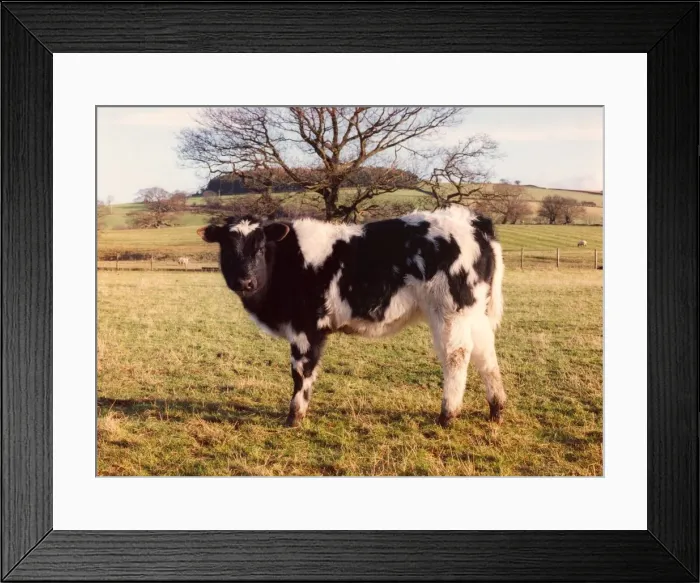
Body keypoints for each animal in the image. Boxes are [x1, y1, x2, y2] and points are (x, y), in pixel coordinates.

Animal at [197, 205, 506, 428]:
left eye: (260, 247)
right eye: (227, 248)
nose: (244, 281)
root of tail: (473, 221)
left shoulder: (306, 328)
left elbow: (301, 372)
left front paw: (294, 416)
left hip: (451, 311)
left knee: (456, 356)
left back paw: (447, 414)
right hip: (473, 313)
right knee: (486, 354)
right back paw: (496, 408)